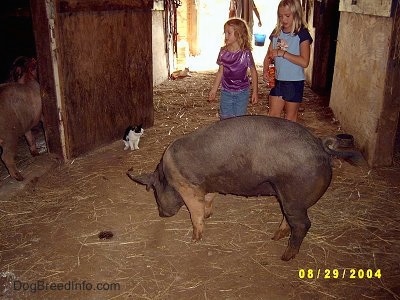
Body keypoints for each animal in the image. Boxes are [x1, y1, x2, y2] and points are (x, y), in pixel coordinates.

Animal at [128, 116, 362, 262]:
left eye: (154, 190)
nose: (161, 214)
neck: (168, 174)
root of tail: (322, 146)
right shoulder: (209, 185)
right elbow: (209, 200)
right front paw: (209, 214)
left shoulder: (188, 187)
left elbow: (195, 213)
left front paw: (194, 239)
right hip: (289, 199)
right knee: (291, 220)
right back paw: (275, 237)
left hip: (293, 196)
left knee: (303, 224)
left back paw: (285, 256)